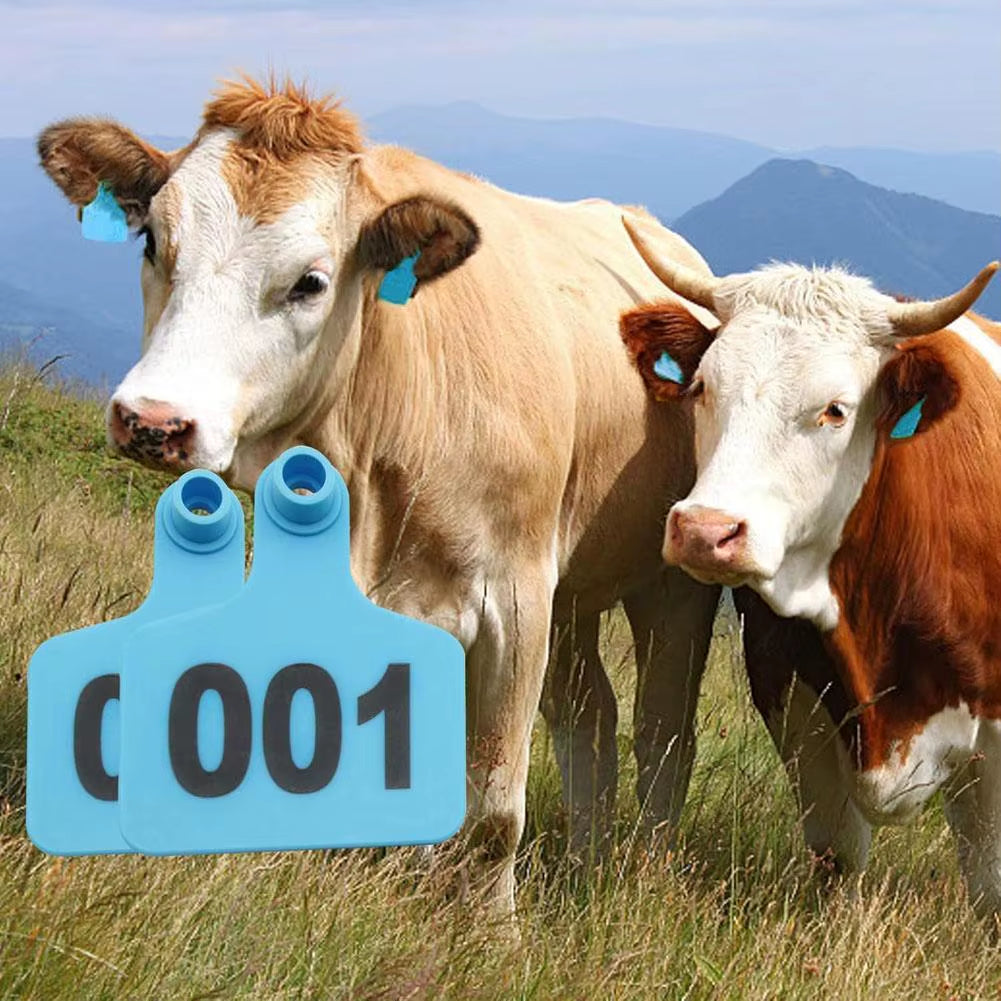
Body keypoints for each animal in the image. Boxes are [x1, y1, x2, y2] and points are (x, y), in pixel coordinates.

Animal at [36, 76, 722, 917]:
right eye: (152, 244)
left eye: (310, 281)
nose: (153, 420)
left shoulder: (516, 594)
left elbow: (493, 807)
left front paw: (491, 928)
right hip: (574, 591)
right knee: (590, 712)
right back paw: (586, 857)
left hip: (669, 584)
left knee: (663, 730)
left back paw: (640, 871)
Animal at [619, 216, 1001, 923]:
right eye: (703, 388)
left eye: (835, 410)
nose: (705, 530)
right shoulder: (791, 693)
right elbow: (837, 852)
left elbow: (990, 885)